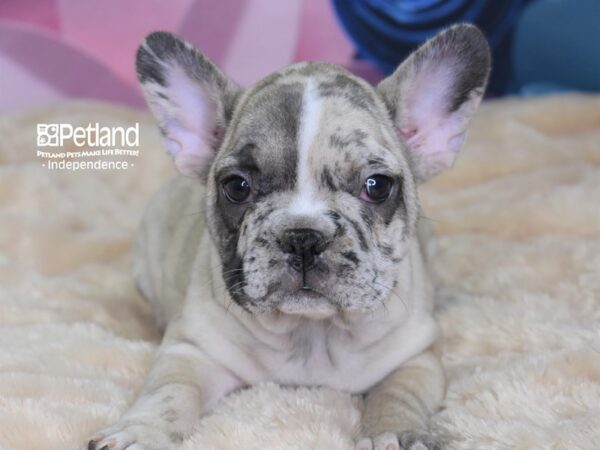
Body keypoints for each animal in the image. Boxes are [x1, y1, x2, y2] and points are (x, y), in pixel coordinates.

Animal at [90, 23, 492, 450]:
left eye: (377, 186)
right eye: (237, 187)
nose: (303, 236)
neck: (312, 332)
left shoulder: (416, 359)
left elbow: (398, 395)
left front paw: (395, 435)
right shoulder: (192, 350)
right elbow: (168, 393)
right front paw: (141, 430)